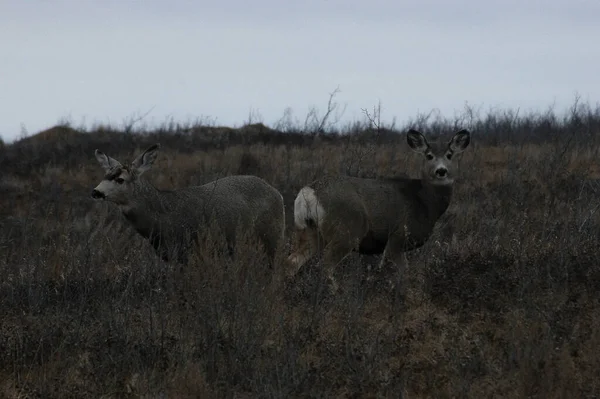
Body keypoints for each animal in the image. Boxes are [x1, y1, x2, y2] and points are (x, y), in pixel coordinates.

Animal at [90, 145, 284, 266]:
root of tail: (278, 194)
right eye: (105, 176)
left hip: (272, 236)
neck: (162, 215)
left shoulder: (186, 248)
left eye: (120, 179)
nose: (96, 192)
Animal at [288, 128, 472, 294]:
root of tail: (309, 192)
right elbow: (398, 270)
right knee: (325, 264)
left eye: (449, 155)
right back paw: (335, 292)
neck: (425, 203)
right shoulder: (398, 236)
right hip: (347, 229)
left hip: (308, 230)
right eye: (429, 155)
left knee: (293, 260)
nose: (441, 170)